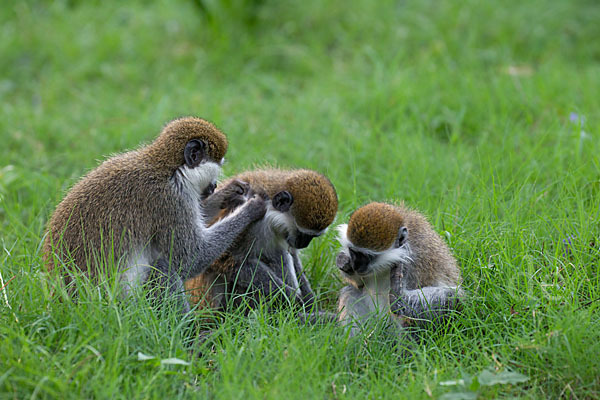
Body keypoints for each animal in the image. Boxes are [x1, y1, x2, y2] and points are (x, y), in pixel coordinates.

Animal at [42, 115, 268, 312]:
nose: (213, 186)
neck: (168, 168)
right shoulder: (170, 200)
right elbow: (191, 257)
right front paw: (251, 209)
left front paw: (230, 192)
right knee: (163, 266)